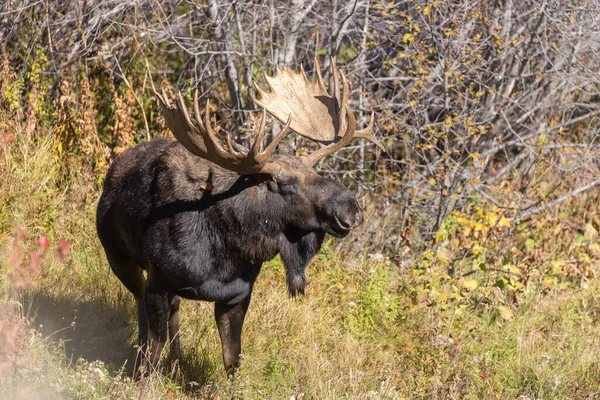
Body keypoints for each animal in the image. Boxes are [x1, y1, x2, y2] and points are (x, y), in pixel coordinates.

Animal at [94, 60, 384, 376]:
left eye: (315, 171)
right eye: (285, 184)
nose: (350, 209)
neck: (223, 249)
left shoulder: (237, 294)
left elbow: (232, 359)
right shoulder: (158, 283)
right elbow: (153, 351)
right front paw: (142, 376)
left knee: (175, 314)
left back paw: (177, 361)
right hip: (118, 259)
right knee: (142, 309)